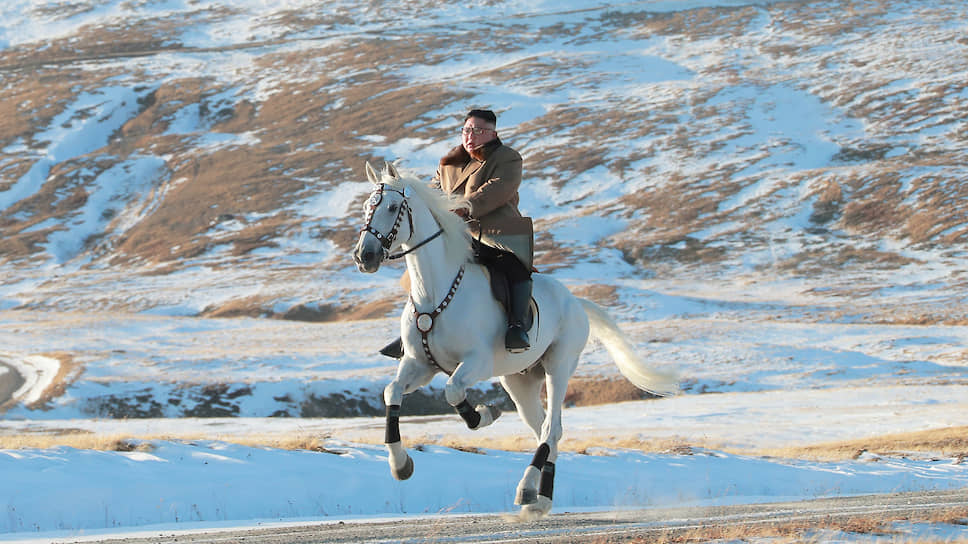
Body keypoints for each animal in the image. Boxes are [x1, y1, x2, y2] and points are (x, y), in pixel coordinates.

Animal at [352, 162, 676, 520]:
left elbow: (453, 391)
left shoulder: (476, 363)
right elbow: (392, 391)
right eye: (366, 207)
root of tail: (576, 301)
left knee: (550, 429)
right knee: (545, 429)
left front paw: (484, 414)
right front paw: (400, 465)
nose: (364, 256)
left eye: (393, 207)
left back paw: (526, 490)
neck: (435, 291)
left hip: (558, 367)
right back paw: (540, 499)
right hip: (518, 381)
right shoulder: (419, 364)